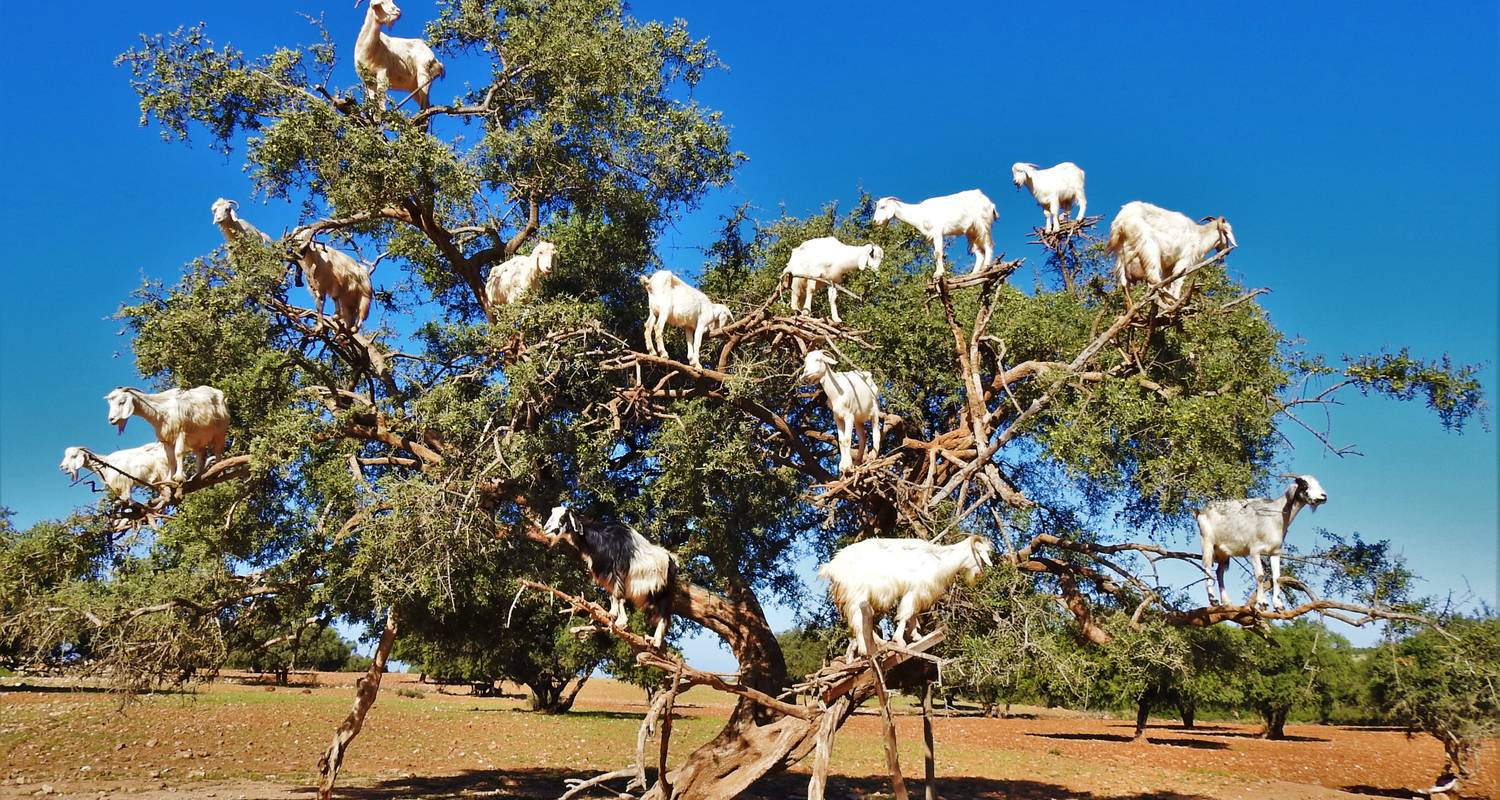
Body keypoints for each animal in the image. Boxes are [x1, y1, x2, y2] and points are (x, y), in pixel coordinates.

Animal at [543, 504, 678, 648]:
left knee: (664, 616)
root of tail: (672, 561)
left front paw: (621, 621)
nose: (545, 529)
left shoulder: (618, 571)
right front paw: (611, 614)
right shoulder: (606, 574)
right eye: (552, 514)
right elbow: (612, 595)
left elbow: (618, 596)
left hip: (664, 593)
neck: (599, 538)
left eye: (563, 518)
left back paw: (656, 641)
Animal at [822, 534, 996, 657]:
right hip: (857, 595)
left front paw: (916, 636)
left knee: (864, 621)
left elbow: (914, 614)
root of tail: (832, 567)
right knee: (858, 621)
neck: (939, 558)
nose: (980, 573)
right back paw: (866, 649)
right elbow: (906, 614)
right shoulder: (914, 590)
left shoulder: (917, 592)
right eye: (982, 554)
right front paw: (900, 640)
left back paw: (879, 642)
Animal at [1194, 474, 1326, 612]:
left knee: (1219, 572)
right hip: (1208, 543)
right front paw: (1262, 603)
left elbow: (1277, 577)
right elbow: (1260, 576)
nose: (1324, 496)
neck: (1276, 516)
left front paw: (1278, 605)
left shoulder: (1275, 552)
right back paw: (1213, 599)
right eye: (1305, 484)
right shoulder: (1254, 550)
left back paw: (1226, 602)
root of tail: (1201, 512)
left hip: (1223, 552)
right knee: (1207, 567)